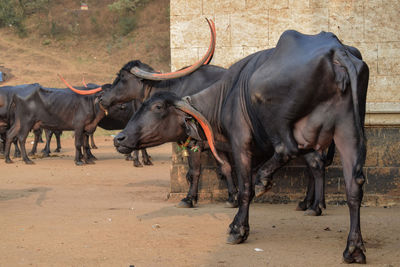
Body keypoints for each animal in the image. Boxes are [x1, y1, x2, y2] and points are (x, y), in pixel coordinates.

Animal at [112, 30, 368, 264]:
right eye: (141, 106)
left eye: (157, 107)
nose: (119, 138)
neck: (224, 96)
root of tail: (337, 52)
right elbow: (228, 172)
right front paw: (232, 202)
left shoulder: (239, 142)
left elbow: (236, 184)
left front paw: (236, 226)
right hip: (347, 130)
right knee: (352, 185)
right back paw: (352, 246)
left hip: (282, 121)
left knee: (291, 151)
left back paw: (283, 190)